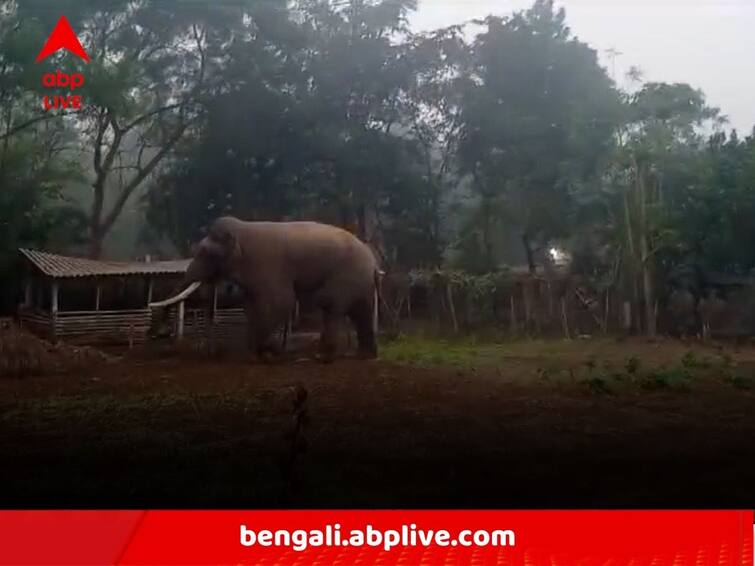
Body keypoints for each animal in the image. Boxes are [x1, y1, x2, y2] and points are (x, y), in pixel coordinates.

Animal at [156, 217, 380, 364]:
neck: (242, 228)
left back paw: (322, 357)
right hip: (360, 280)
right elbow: (251, 304)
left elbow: (280, 301)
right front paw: (258, 354)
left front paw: (270, 352)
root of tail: (373, 261)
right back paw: (364, 356)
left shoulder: (266, 263)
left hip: (347, 273)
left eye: (205, 252)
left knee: (330, 304)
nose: (162, 333)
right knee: (361, 311)